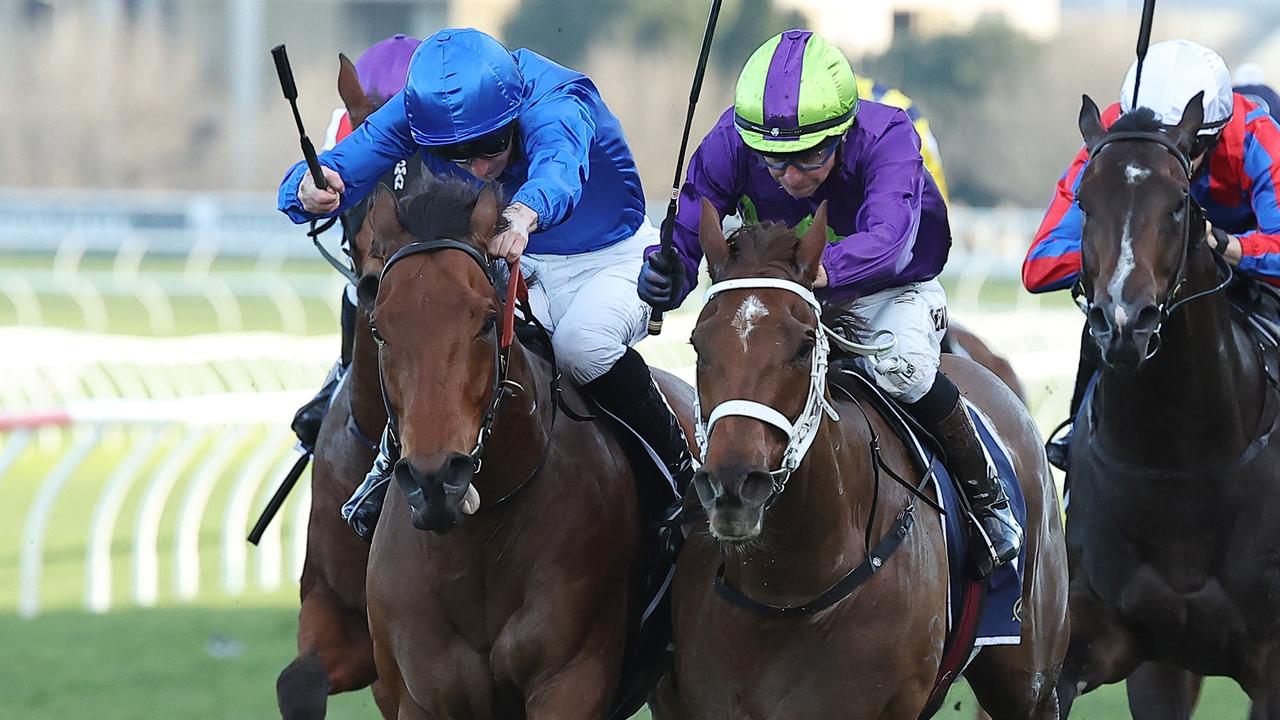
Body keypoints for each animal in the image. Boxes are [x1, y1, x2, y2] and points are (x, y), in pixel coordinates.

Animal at [1054, 94, 1280, 712]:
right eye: (1083, 200)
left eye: (1179, 203)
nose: (1125, 322)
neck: (1180, 460)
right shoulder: (1114, 646)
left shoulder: (1273, 666)